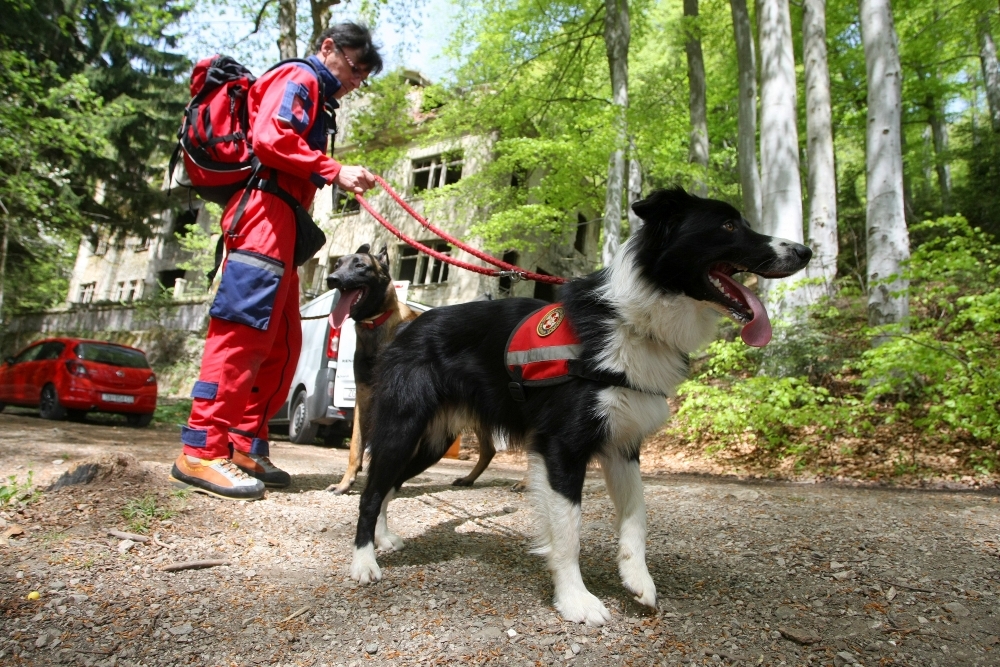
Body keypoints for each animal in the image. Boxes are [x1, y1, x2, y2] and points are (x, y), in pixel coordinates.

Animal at [324, 244, 497, 494]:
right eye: (337, 264)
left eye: (360, 266)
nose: (332, 279)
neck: (378, 324)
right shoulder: (364, 395)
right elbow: (356, 445)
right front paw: (345, 483)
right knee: (490, 449)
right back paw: (469, 478)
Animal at [347, 188, 811, 625]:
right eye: (729, 226)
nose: (805, 252)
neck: (633, 321)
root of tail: (409, 325)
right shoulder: (561, 447)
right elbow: (568, 532)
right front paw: (575, 600)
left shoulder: (623, 443)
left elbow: (637, 514)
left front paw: (636, 578)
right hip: (403, 427)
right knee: (369, 492)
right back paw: (364, 560)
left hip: (432, 440)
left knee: (386, 485)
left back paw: (384, 539)